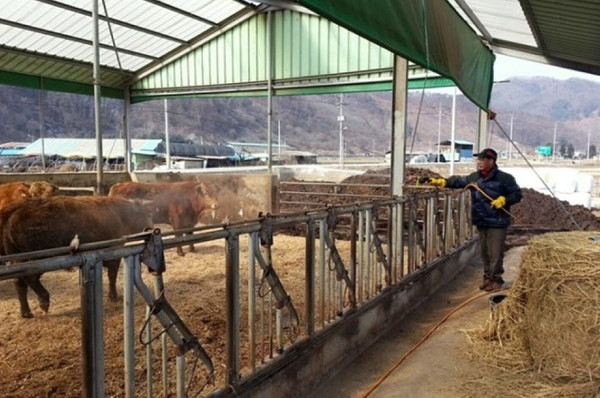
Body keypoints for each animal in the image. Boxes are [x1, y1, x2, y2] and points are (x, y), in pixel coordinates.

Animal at [0, 194, 154, 318]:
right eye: (145, 214)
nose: (151, 227)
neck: (121, 215)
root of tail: (15, 210)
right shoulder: (114, 255)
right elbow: (112, 275)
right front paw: (114, 296)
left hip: (18, 259)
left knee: (19, 282)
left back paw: (26, 313)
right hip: (37, 259)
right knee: (30, 278)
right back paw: (44, 301)